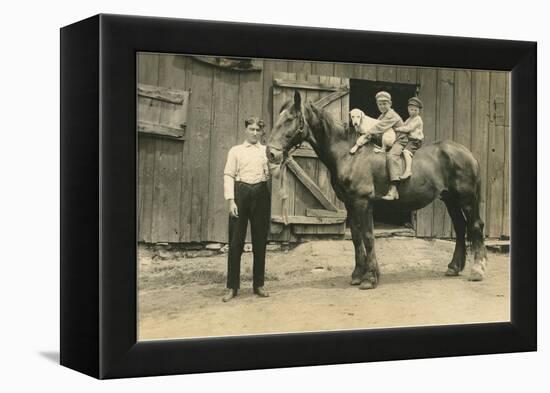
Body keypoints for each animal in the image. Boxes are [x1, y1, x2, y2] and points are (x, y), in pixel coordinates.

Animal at [268, 91, 488, 288]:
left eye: (290, 119)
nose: (271, 153)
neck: (349, 155)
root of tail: (467, 153)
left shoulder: (363, 202)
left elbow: (368, 236)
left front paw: (370, 278)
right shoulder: (350, 204)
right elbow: (356, 237)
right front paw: (357, 275)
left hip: (466, 200)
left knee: (475, 226)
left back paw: (477, 270)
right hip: (450, 200)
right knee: (460, 227)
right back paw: (454, 267)